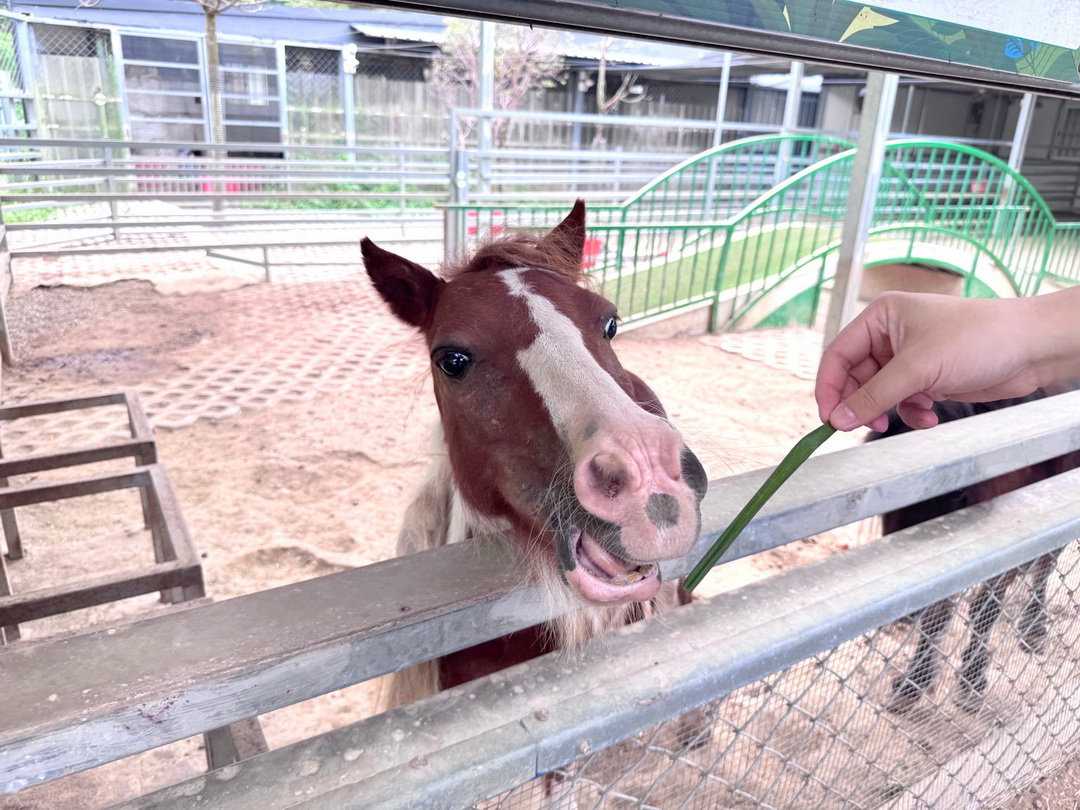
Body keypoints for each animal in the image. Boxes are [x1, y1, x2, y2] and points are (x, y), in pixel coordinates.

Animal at [873, 385, 1080, 714]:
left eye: (958, 490)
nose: (906, 611)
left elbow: (986, 606)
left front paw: (971, 678)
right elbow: (938, 615)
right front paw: (913, 682)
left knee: (1046, 564)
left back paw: (1034, 628)